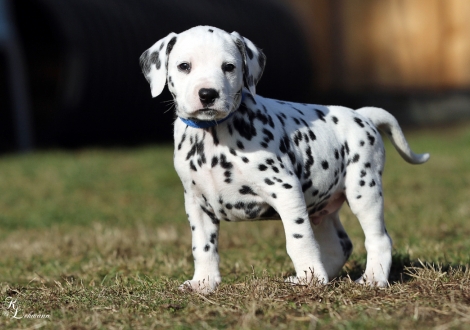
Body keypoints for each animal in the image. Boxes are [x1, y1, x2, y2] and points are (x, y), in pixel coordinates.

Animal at [139, 25, 430, 294]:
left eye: (229, 67)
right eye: (184, 66)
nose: (208, 94)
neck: (212, 138)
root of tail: (362, 115)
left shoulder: (286, 190)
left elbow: (299, 239)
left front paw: (311, 279)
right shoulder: (197, 203)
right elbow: (203, 246)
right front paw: (204, 282)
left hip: (364, 191)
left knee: (378, 239)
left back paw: (371, 279)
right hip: (321, 207)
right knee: (340, 245)